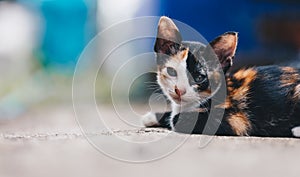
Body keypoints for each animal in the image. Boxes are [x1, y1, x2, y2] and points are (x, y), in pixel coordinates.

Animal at [142, 16, 300, 138]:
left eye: (199, 77)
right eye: (172, 72)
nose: (179, 90)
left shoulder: (237, 121)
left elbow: (176, 118)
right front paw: (151, 116)